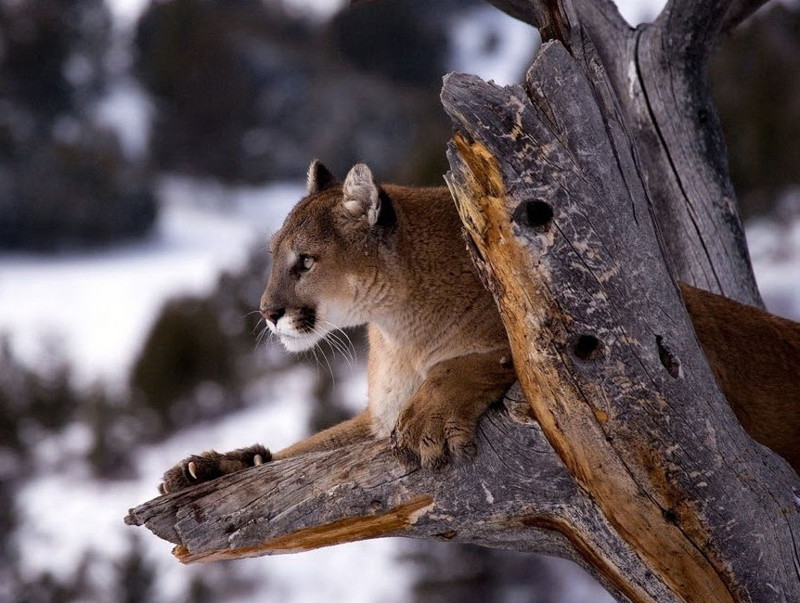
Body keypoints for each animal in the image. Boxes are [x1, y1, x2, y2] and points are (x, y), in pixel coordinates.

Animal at [159, 162, 800, 496]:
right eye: (273, 256)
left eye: (304, 262)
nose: (267, 312)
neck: (396, 325)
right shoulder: (373, 417)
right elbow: (299, 452)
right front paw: (211, 465)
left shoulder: (580, 345)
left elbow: (475, 359)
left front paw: (430, 418)